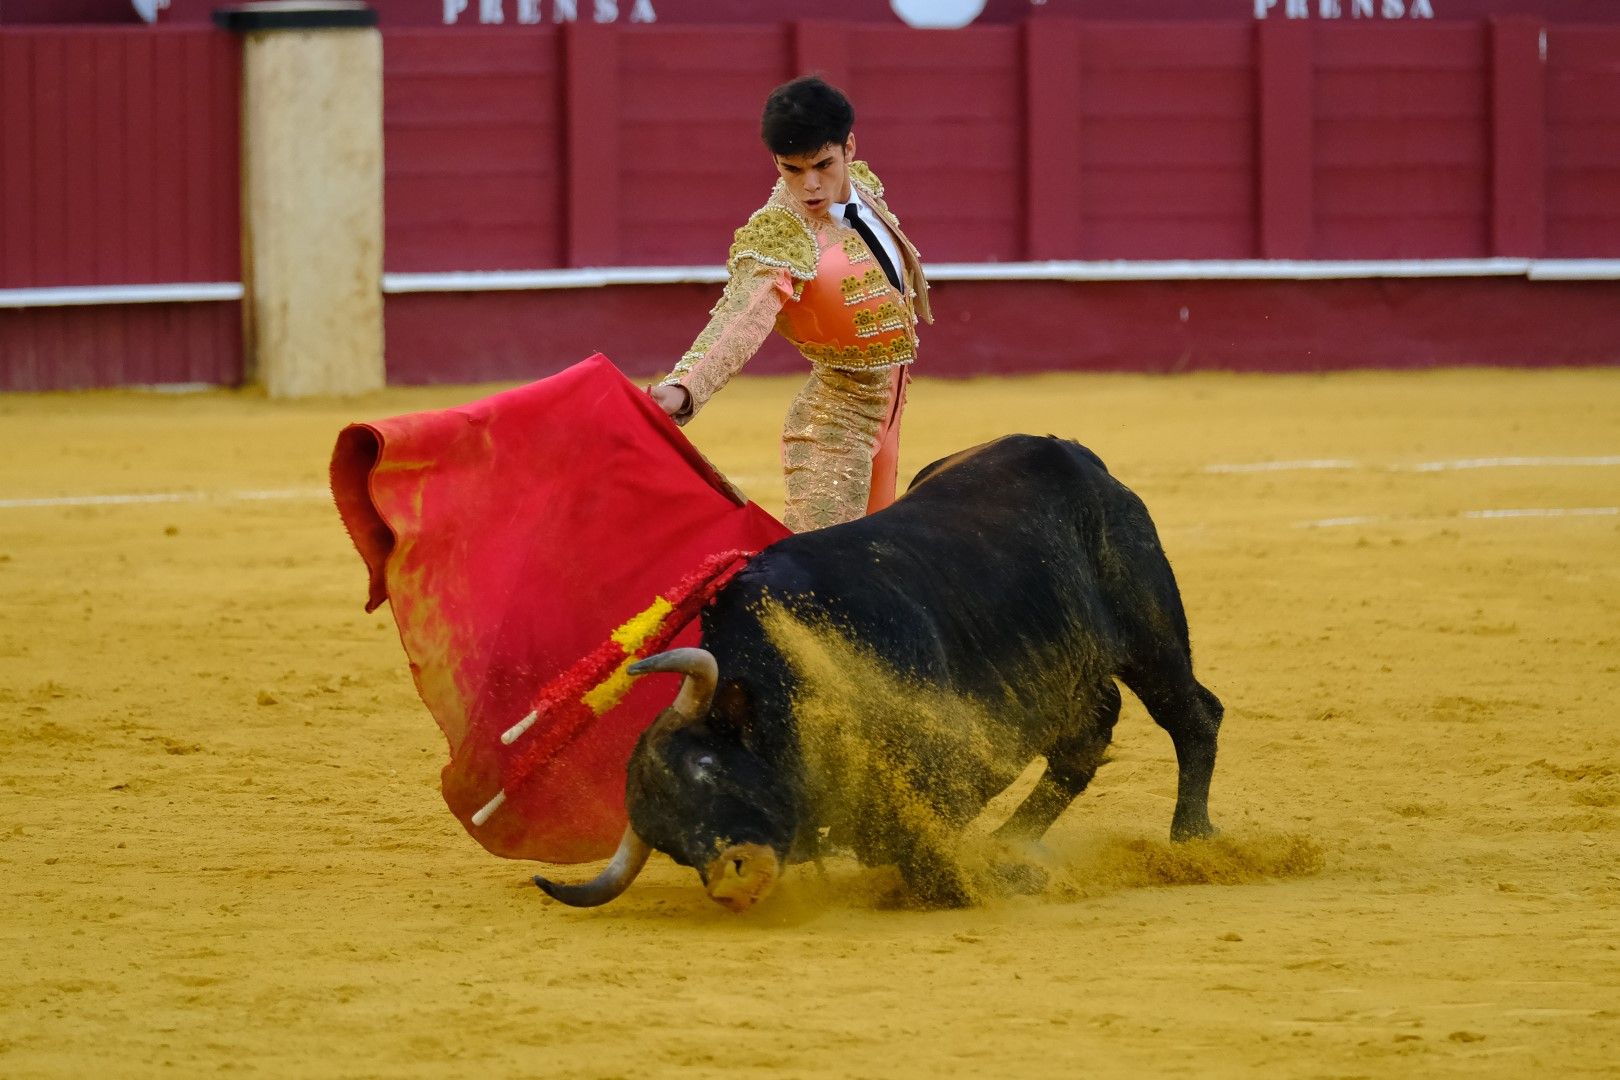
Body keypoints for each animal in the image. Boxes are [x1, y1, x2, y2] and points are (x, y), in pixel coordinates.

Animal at [537, 437, 1218, 913]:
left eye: (708, 766)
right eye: (671, 842)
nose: (735, 879)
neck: (782, 685)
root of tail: (1077, 456)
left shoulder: (943, 760)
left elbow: (917, 847)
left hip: (1150, 637)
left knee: (1192, 715)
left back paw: (1191, 840)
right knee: (1087, 737)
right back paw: (1013, 841)